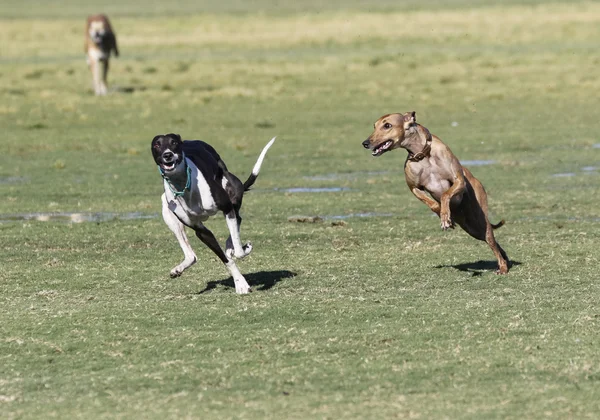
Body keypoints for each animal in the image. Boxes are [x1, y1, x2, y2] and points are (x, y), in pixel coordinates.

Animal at [154, 133, 278, 294]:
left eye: (173, 142)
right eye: (157, 144)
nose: (167, 155)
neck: (185, 185)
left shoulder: (227, 208)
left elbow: (238, 252)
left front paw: (243, 255)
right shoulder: (201, 231)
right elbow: (226, 259)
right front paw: (240, 282)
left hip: (232, 196)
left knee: (237, 221)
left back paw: (232, 246)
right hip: (168, 209)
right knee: (192, 255)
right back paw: (181, 267)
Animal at [360, 113, 510, 274]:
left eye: (387, 125)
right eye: (374, 126)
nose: (365, 143)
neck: (423, 154)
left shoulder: (459, 181)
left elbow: (445, 194)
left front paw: (444, 215)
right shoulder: (414, 188)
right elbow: (432, 203)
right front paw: (443, 215)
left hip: (480, 220)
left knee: (491, 240)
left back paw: (503, 266)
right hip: (470, 227)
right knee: (493, 243)